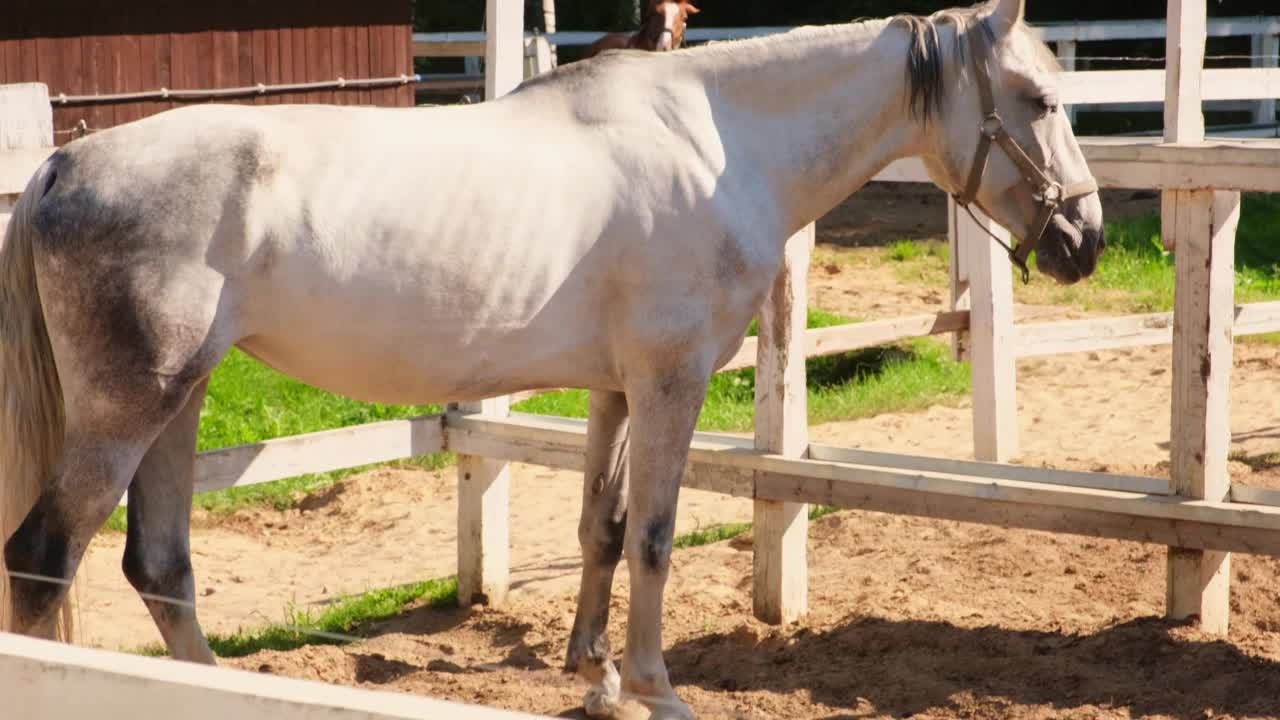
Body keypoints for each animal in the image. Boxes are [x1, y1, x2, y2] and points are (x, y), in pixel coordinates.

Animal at [0, 0, 1100, 712]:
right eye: (1038, 99)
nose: (1082, 240)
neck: (718, 147)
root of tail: (64, 164)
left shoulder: (614, 391)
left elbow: (599, 531)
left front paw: (597, 675)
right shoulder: (669, 383)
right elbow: (653, 535)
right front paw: (655, 688)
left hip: (177, 401)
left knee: (159, 566)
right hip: (129, 410)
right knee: (45, 560)